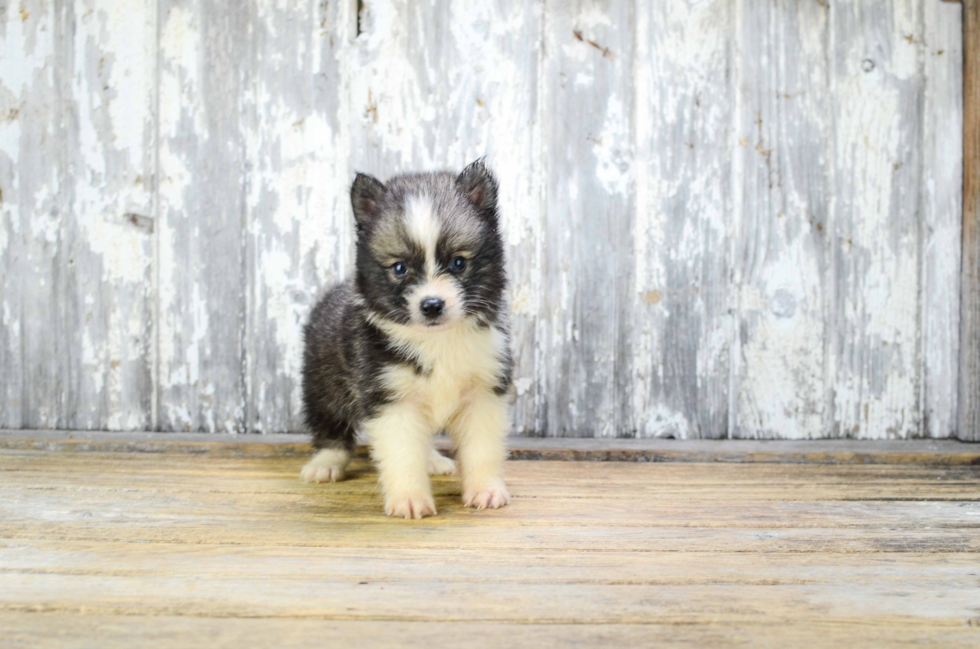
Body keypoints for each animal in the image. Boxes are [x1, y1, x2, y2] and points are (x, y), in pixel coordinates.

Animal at [298, 159, 512, 520]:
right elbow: (403, 454)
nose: (432, 305)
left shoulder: (482, 393)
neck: (436, 340)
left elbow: (481, 449)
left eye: (458, 263)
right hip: (323, 380)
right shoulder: (391, 400)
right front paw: (410, 499)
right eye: (400, 268)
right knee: (330, 425)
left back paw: (434, 460)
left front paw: (485, 489)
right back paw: (326, 462)